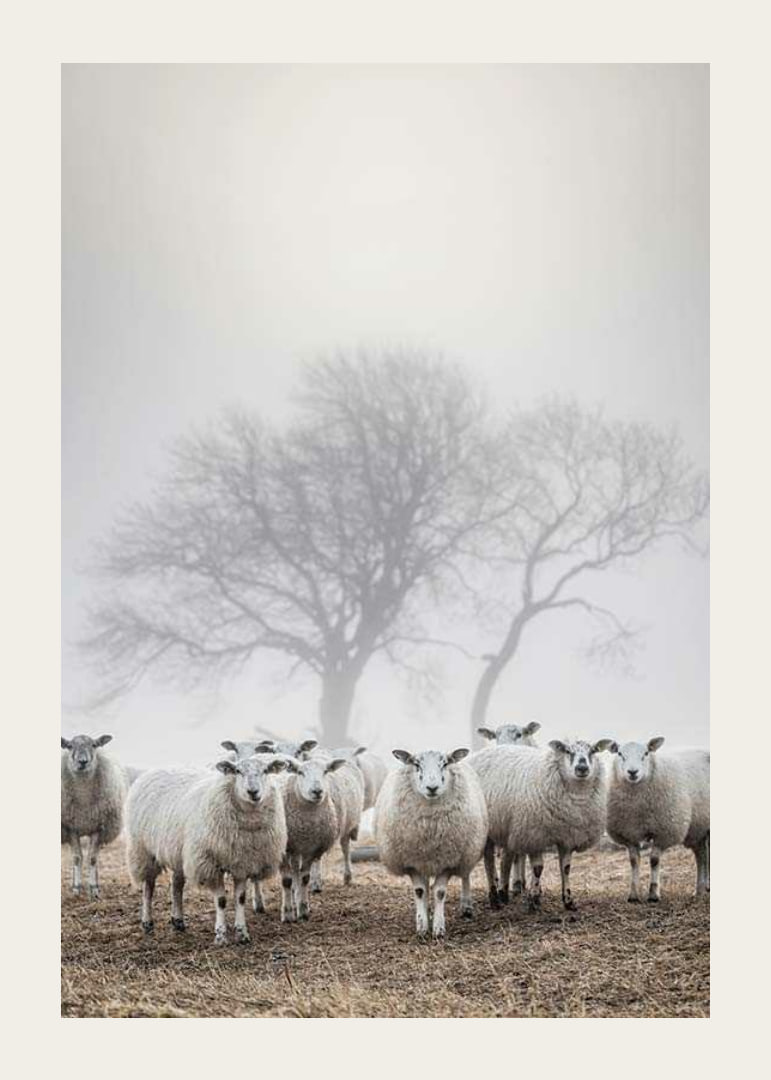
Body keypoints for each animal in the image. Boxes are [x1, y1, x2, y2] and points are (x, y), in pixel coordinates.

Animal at [61, 734, 128, 900]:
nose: (83, 761)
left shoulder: (98, 828)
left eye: (94, 745)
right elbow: (77, 858)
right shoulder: (71, 828)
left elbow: (92, 858)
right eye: (70, 746)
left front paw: (94, 889)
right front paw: (76, 889)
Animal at [125, 754, 287, 944]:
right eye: (237, 771)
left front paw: (242, 933)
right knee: (148, 887)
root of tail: (155, 770)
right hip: (144, 850)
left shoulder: (242, 862)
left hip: (180, 852)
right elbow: (222, 900)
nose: (253, 792)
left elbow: (240, 899)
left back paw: (178, 921)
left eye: (266, 771)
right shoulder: (210, 863)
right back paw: (147, 923)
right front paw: (221, 935)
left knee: (176, 885)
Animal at [374, 748, 488, 938]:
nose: (432, 788)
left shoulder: (448, 860)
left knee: (464, 875)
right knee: (426, 887)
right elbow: (420, 891)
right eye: (416, 764)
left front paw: (438, 928)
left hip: (467, 851)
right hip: (424, 860)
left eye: (445, 763)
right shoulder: (412, 861)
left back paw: (466, 906)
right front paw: (422, 926)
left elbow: (440, 892)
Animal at [470, 738, 612, 912]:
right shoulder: (535, 835)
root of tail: (479, 754)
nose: (582, 768)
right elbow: (538, 869)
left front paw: (568, 901)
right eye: (567, 751)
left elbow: (566, 868)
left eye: (593, 751)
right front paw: (534, 900)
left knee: (505, 860)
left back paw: (503, 894)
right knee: (489, 861)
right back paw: (494, 899)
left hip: (508, 827)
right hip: (489, 830)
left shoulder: (567, 837)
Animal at [606, 738, 710, 902]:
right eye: (620, 754)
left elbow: (654, 860)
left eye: (646, 753)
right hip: (697, 828)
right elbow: (634, 861)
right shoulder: (629, 834)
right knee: (701, 855)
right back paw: (699, 890)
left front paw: (653, 894)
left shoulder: (664, 832)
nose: (632, 772)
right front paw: (633, 895)